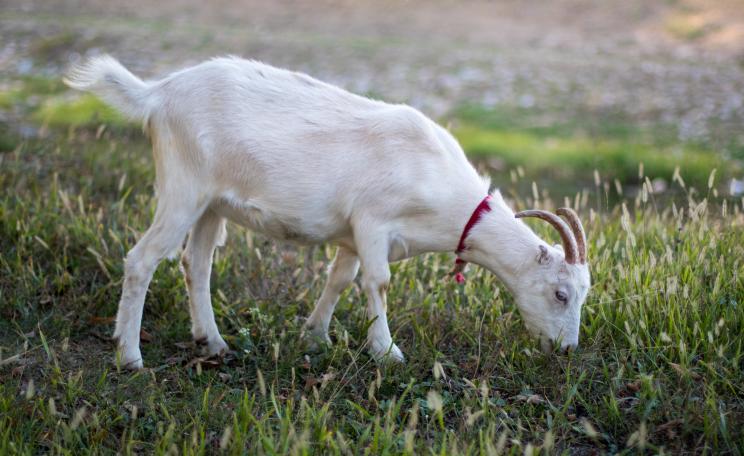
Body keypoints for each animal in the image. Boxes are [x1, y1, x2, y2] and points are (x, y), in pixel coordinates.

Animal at [65, 55, 591, 369]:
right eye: (561, 293)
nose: (566, 350)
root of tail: (158, 94)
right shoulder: (374, 221)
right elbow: (378, 282)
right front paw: (388, 352)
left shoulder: (352, 235)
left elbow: (340, 279)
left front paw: (314, 336)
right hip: (183, 189)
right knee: (142, 259)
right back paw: (130, 356)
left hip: (212, 203)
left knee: (196, 263)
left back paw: (213, 342)